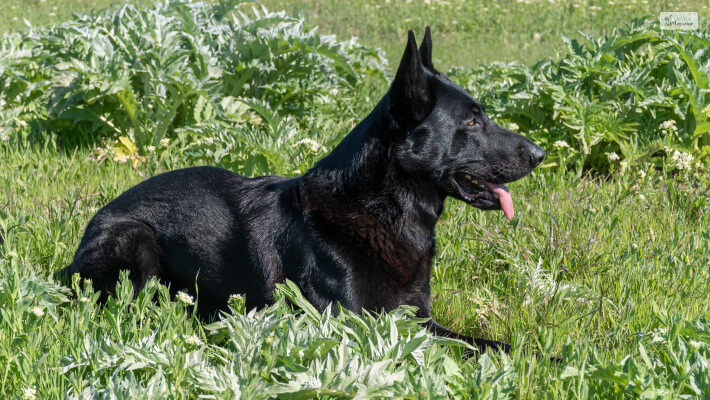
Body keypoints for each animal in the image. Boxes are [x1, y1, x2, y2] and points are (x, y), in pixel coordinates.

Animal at [64, 27, 548, 354]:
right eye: (471, 121)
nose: (540, 153)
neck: (382, 209)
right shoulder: (360, 326)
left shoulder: (419, 318)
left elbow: (483, 342)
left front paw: (541, 355)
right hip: (137, 238)